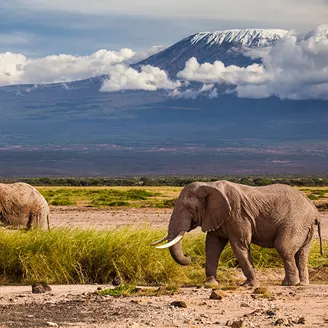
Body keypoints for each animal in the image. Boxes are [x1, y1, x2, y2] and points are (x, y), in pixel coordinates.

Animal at [152, 181, 322, 286]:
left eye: (189, 208)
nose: (189, 256)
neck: (209, 186)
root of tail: (315, 211)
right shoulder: (216, 216)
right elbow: (212, 246)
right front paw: (210, 284)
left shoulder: (237, 214)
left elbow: (239, 245)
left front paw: (250, 285)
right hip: (304, 226)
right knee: (302, 253)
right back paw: (301, 284)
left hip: (295, 221)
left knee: (283, 247)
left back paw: (289, 284)